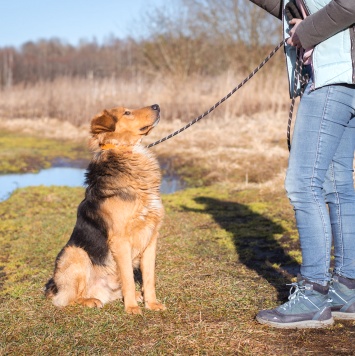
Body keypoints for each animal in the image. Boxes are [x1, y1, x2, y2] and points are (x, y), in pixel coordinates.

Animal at [45, 103, 166, 314]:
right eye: (127, 112)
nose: (156, 105)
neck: (127, 151)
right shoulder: (120, 240)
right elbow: (128, 277)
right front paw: (132, 308)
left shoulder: (151, 237)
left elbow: (149, 278)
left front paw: (151, 304)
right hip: (75, 253)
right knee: (66, 299)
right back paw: (90, 300)